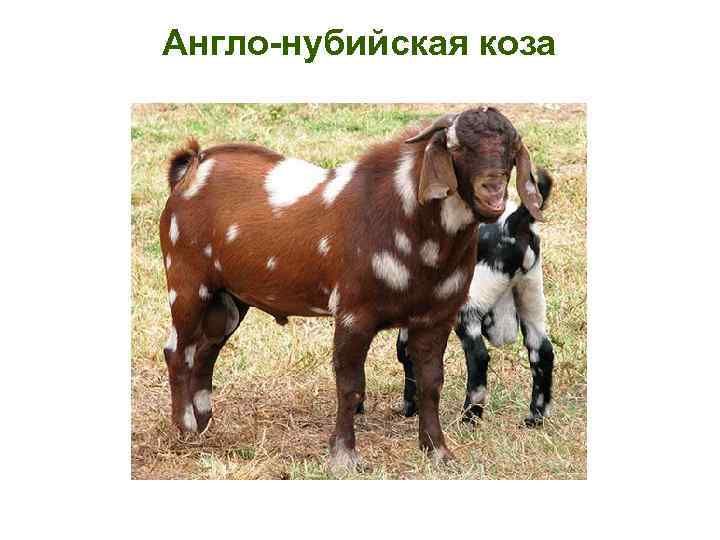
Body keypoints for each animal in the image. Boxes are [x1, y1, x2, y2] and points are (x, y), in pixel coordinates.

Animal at [396, 170, 555, 426]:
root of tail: (512, 224)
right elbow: (407, 351)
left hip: (468, 308)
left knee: (478, 357)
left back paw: (470, 416)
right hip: (530, 297)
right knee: (542, 352)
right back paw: (535, 417)